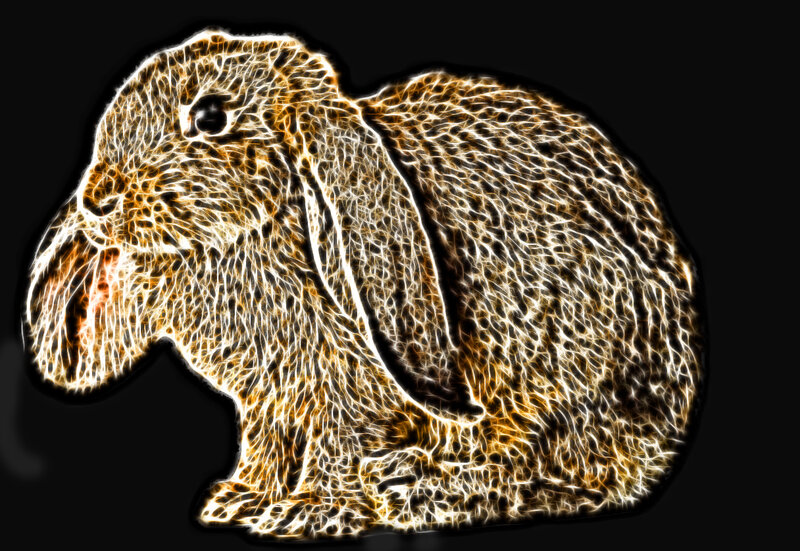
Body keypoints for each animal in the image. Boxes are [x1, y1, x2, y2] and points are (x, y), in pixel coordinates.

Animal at [24, 30, 702, 538]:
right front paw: (239, 499)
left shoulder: (350, 390)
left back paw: (427, 490)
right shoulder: (268, 401)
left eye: (211, 116)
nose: (96, 200)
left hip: (554, 355)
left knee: (564, 471)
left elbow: (339, 442)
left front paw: (307, 513)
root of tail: (672, 418)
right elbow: (267, 442)